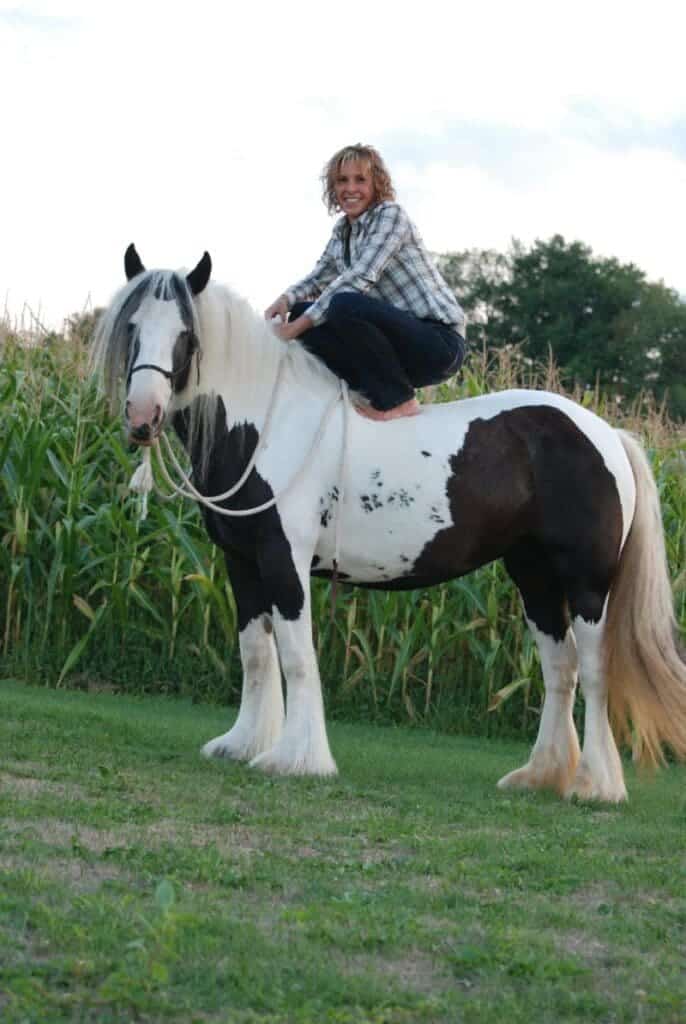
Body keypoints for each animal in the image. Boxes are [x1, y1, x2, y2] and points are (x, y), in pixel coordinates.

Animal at [92, 245, 686, 798]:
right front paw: (242, 744)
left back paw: (595, 785)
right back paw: (540, 776)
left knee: (595, 672)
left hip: (585, 582)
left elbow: (297, 656)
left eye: (187, 335)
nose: (142, 418)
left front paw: (297, 758)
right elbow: (256, 653)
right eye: (132, 327)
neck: (265, 424)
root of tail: (607, 433)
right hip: (533, 575)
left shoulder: (284, 560)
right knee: (560, 668)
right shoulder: (241, 561)